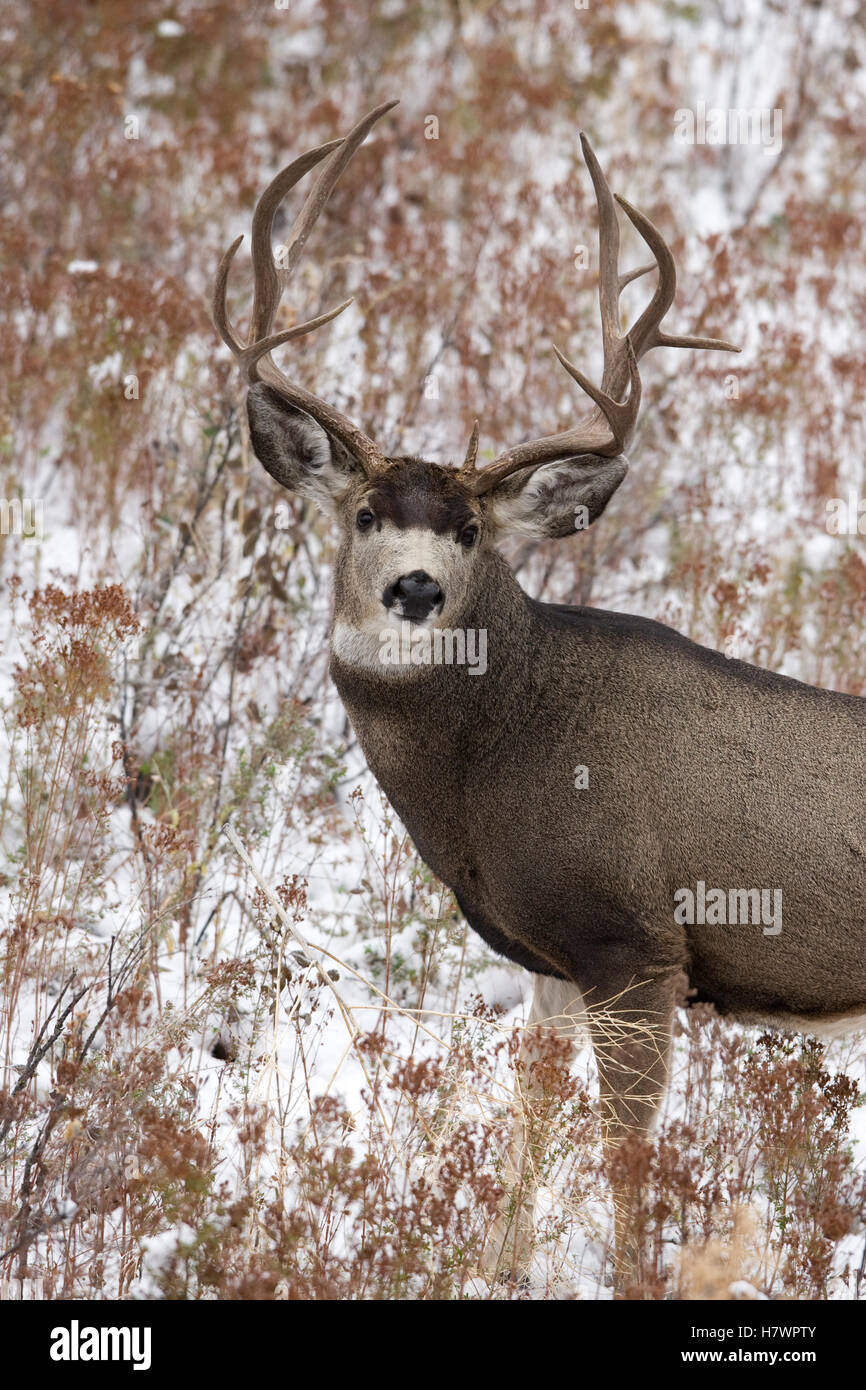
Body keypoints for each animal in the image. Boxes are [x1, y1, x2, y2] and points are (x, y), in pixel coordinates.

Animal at [213, 100, 866, 1290]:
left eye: (470, 530)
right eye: (365, 513)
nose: (416, 587)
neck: (496, 767)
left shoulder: (637, 943)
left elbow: (622, 1149)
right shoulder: (551, 960)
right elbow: (527, 1113)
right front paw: (499, 1266)